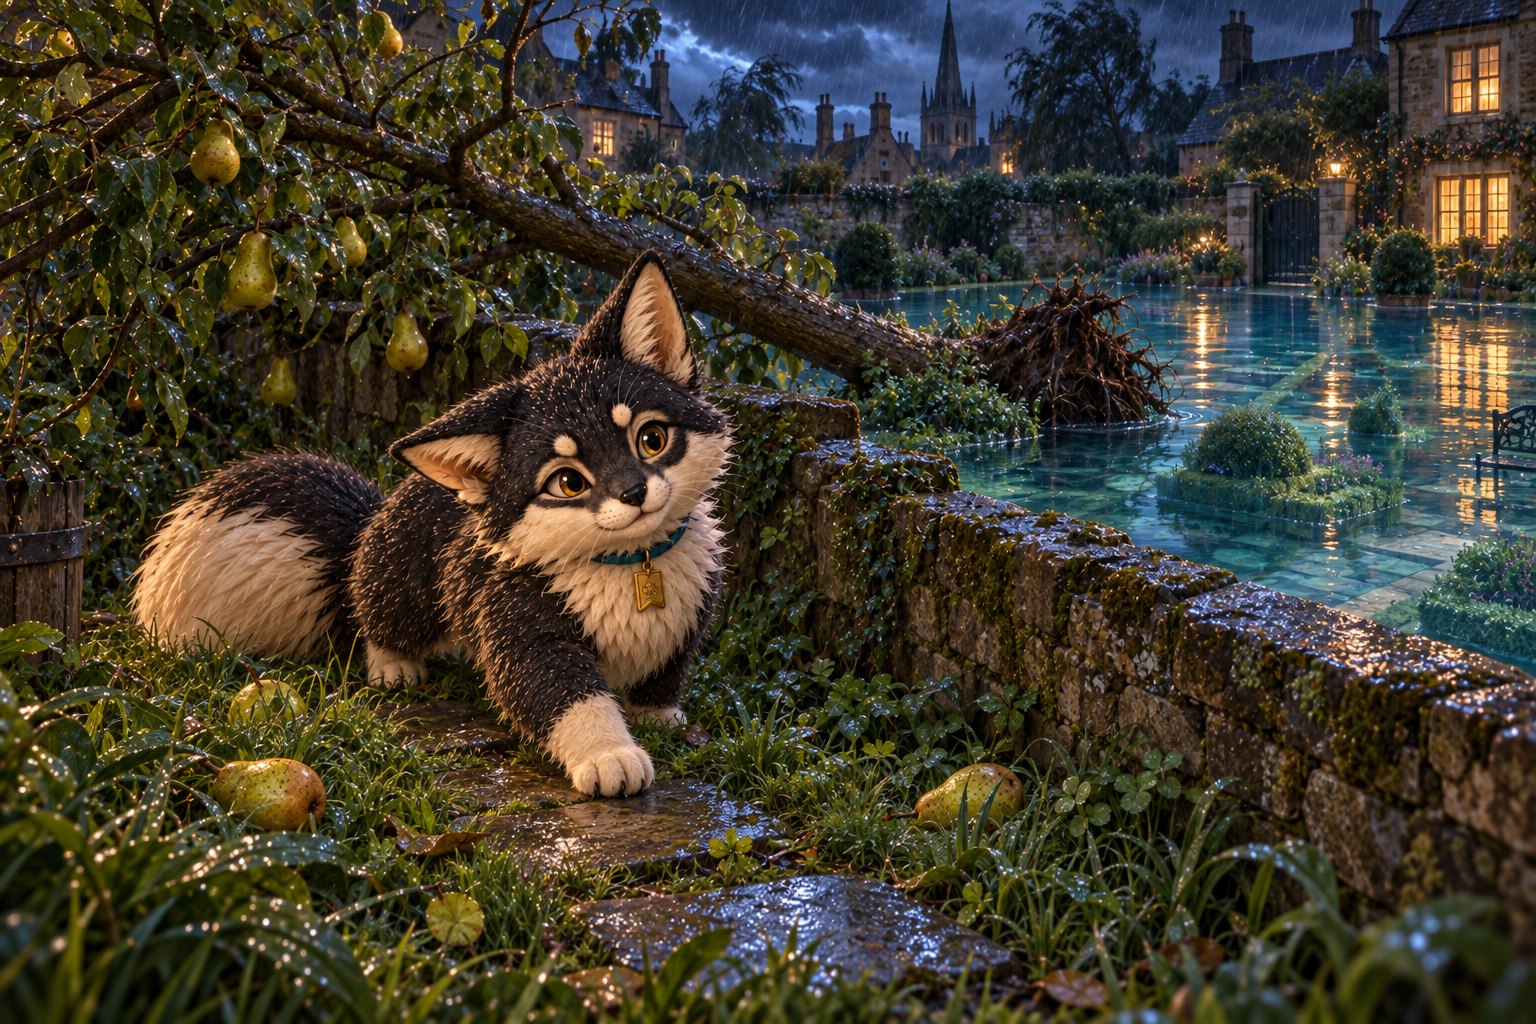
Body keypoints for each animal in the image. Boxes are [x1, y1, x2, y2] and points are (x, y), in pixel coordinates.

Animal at [132, 252, 731, 797]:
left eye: (652, 438)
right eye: (568, 482)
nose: (634, 494)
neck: (630, 562)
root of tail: (369, 523)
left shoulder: (694, 602)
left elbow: (666, 670)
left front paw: (657, 716)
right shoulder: (516, 606)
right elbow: (551, 687)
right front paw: (610, 755)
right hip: (404, 575)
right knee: (380, 613)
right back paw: (393, 664)